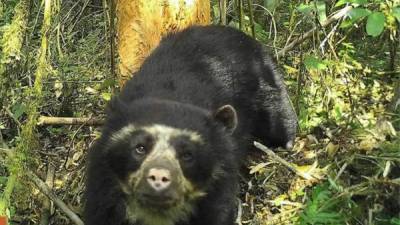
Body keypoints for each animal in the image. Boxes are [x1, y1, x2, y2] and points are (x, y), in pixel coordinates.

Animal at [84, 25, 296, 225]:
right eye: (140, 148)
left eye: (188, 155)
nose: (159, 177)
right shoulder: (102, 189)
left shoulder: (218, 190)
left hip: (265, 83)